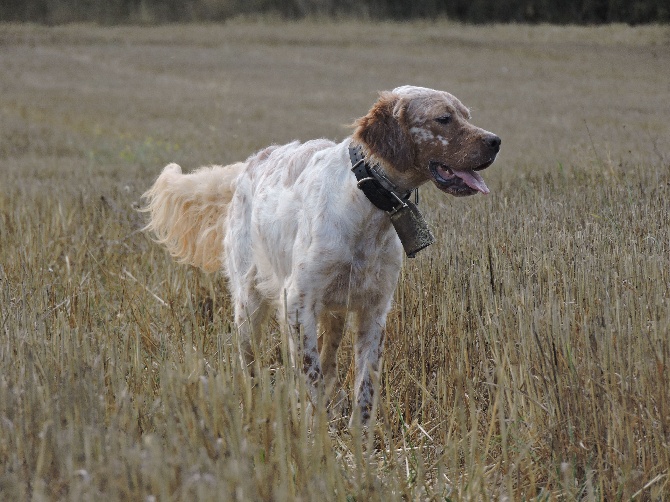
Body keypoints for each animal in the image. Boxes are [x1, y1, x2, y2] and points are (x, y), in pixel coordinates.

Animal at [147, 85, 504, 424]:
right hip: (249, 303)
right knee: (249, 363)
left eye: (467, 115)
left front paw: (359, 435)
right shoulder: (297, 303)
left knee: (330, 360)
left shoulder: (374, 310)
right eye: (443, 118)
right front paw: (316, 430)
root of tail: (250, 162)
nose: (496, 141)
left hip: (334, 313)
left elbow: (364, 387)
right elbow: (311, 375)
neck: (365, 203)